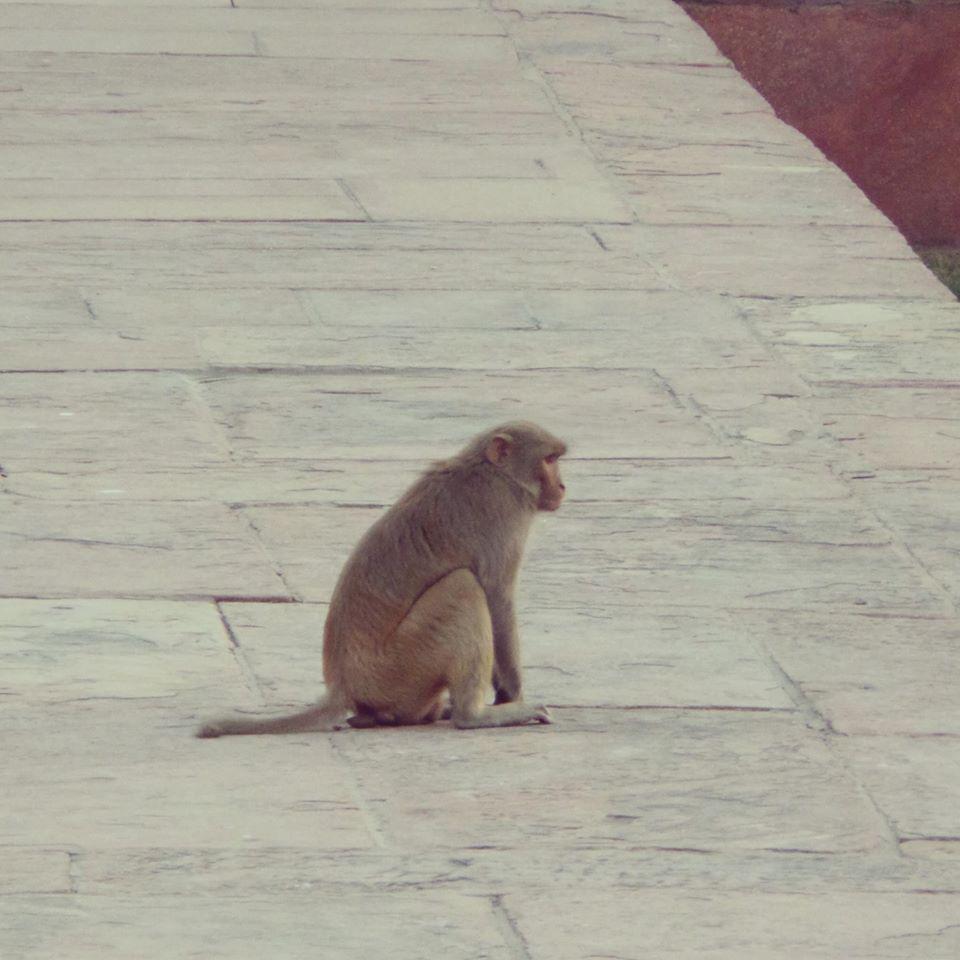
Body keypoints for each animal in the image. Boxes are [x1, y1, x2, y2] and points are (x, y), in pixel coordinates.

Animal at [196, 421, 566, 737]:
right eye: (549, 459)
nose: (562, 486)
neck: (492, 470)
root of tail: (343, 687)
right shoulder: (502, 511)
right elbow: (496, 596)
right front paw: (513, 696)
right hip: (399, 667)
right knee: (463, 585)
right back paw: (471, 715)